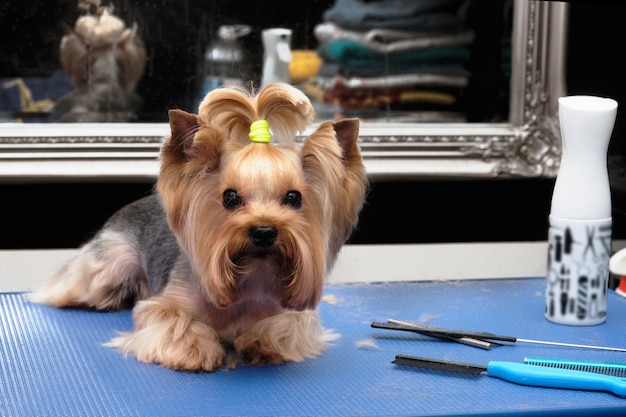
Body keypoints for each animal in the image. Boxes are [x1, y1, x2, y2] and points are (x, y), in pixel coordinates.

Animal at [29, 82, 368, 370]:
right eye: (230, 197)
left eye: (294, 197)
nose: (263, 231)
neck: (252, 275)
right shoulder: (161, 305)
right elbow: (171, 319)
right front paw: (195, 348)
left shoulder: (294, 314)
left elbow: (289, 325)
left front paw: (260, 341)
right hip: (108, 264)